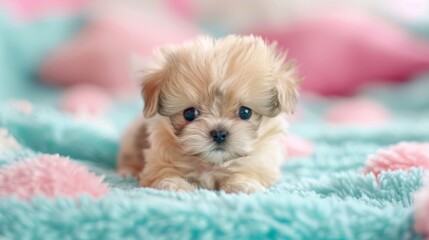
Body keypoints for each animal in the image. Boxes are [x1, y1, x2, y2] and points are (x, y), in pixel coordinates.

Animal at [115, 35, 300, 193]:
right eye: (189, 114)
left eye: (245, 112)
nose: (219, 133)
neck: (212, 165)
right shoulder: (158, 160)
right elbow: (163, 173)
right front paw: (175, 185)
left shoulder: (261, 163)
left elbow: (250, 172)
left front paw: (243, 185)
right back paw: (128, 171)